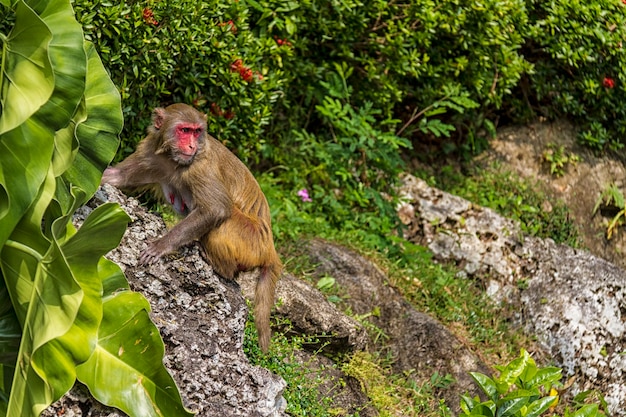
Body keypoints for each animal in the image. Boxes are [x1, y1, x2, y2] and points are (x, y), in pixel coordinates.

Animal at [102, 102, 280, 350]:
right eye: (184, 130)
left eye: (197, 132)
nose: (192, 145)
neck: (173, 159)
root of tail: (270, 249)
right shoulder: (150, 150)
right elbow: (118, 177)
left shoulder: (199, 166)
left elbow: (216, 209)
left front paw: (161, 246)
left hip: (249, 240)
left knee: (222, 225)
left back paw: (219, 266)